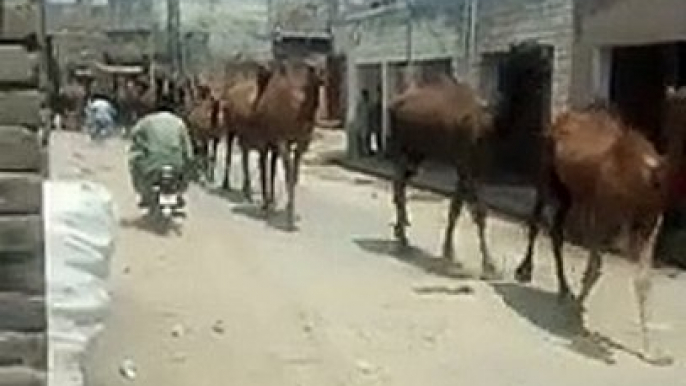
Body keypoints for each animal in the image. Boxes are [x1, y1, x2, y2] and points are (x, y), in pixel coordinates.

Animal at [388, 72, 500, 278]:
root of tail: (394, 103)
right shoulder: (466, 166)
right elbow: (478, 211)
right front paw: (489, 265)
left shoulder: (474, 169)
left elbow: (456, 208)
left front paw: (448, 251)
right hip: (403, 146)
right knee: (398, 181)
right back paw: (402, 236)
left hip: (417, 152)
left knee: (402, 181)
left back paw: (401, 229)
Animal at [516, 103, 672, 362]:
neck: (648, 182)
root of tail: (561, 118)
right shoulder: (602, 215)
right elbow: (594, 267)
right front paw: (575, 317)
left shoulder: (650, 226)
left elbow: (643, 282)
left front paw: (650, 352)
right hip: (547, 172)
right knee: (536, 218)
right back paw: (524, 272)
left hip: (568, 193)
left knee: (556, 230)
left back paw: (564, 290)